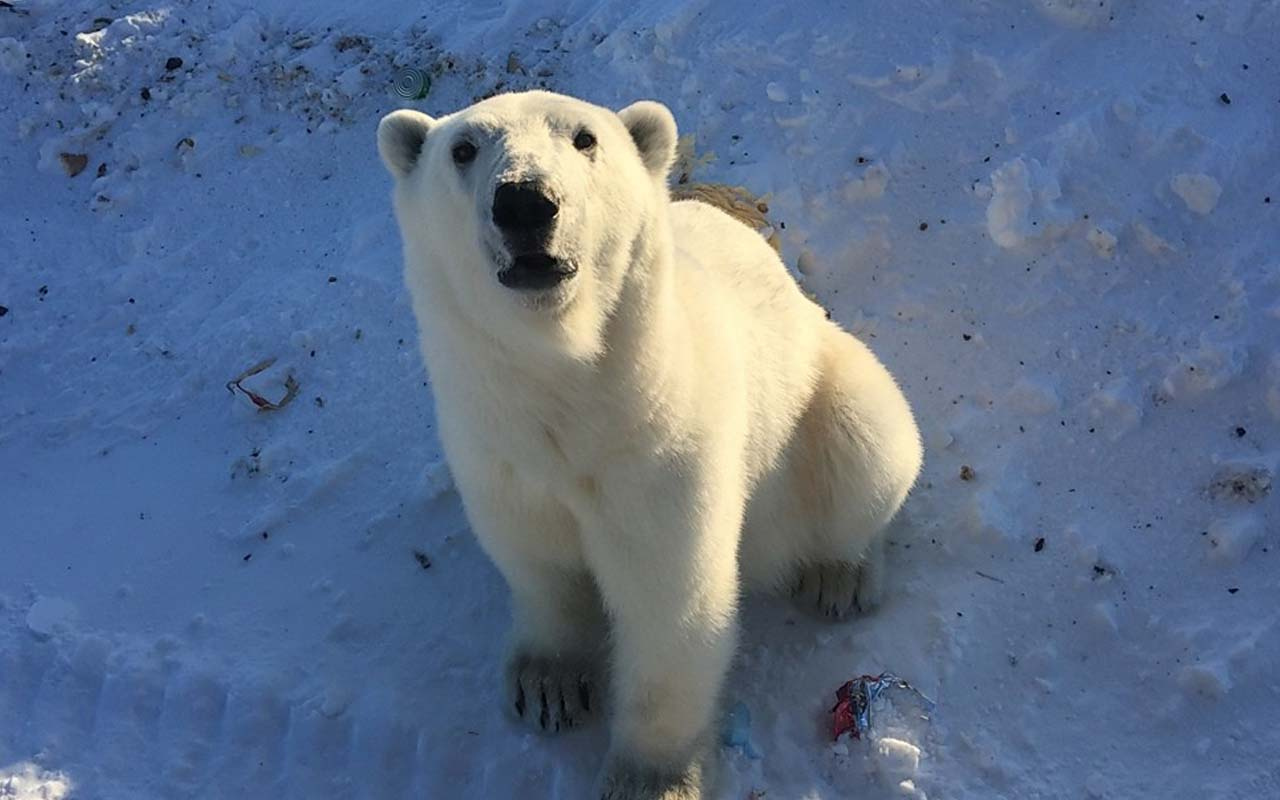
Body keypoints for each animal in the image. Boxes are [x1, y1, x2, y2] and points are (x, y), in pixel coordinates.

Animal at [376, 90, 921, 793]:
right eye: (463, 149)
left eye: (585, 138)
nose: (525, 202)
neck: (571, 385)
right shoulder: (498, 448)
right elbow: (539, 563)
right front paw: (548, 686)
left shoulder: (661, 449)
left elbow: (671, 600)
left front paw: (649, 780)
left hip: (823, 392)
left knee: (867, 447)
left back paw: (840, 576)